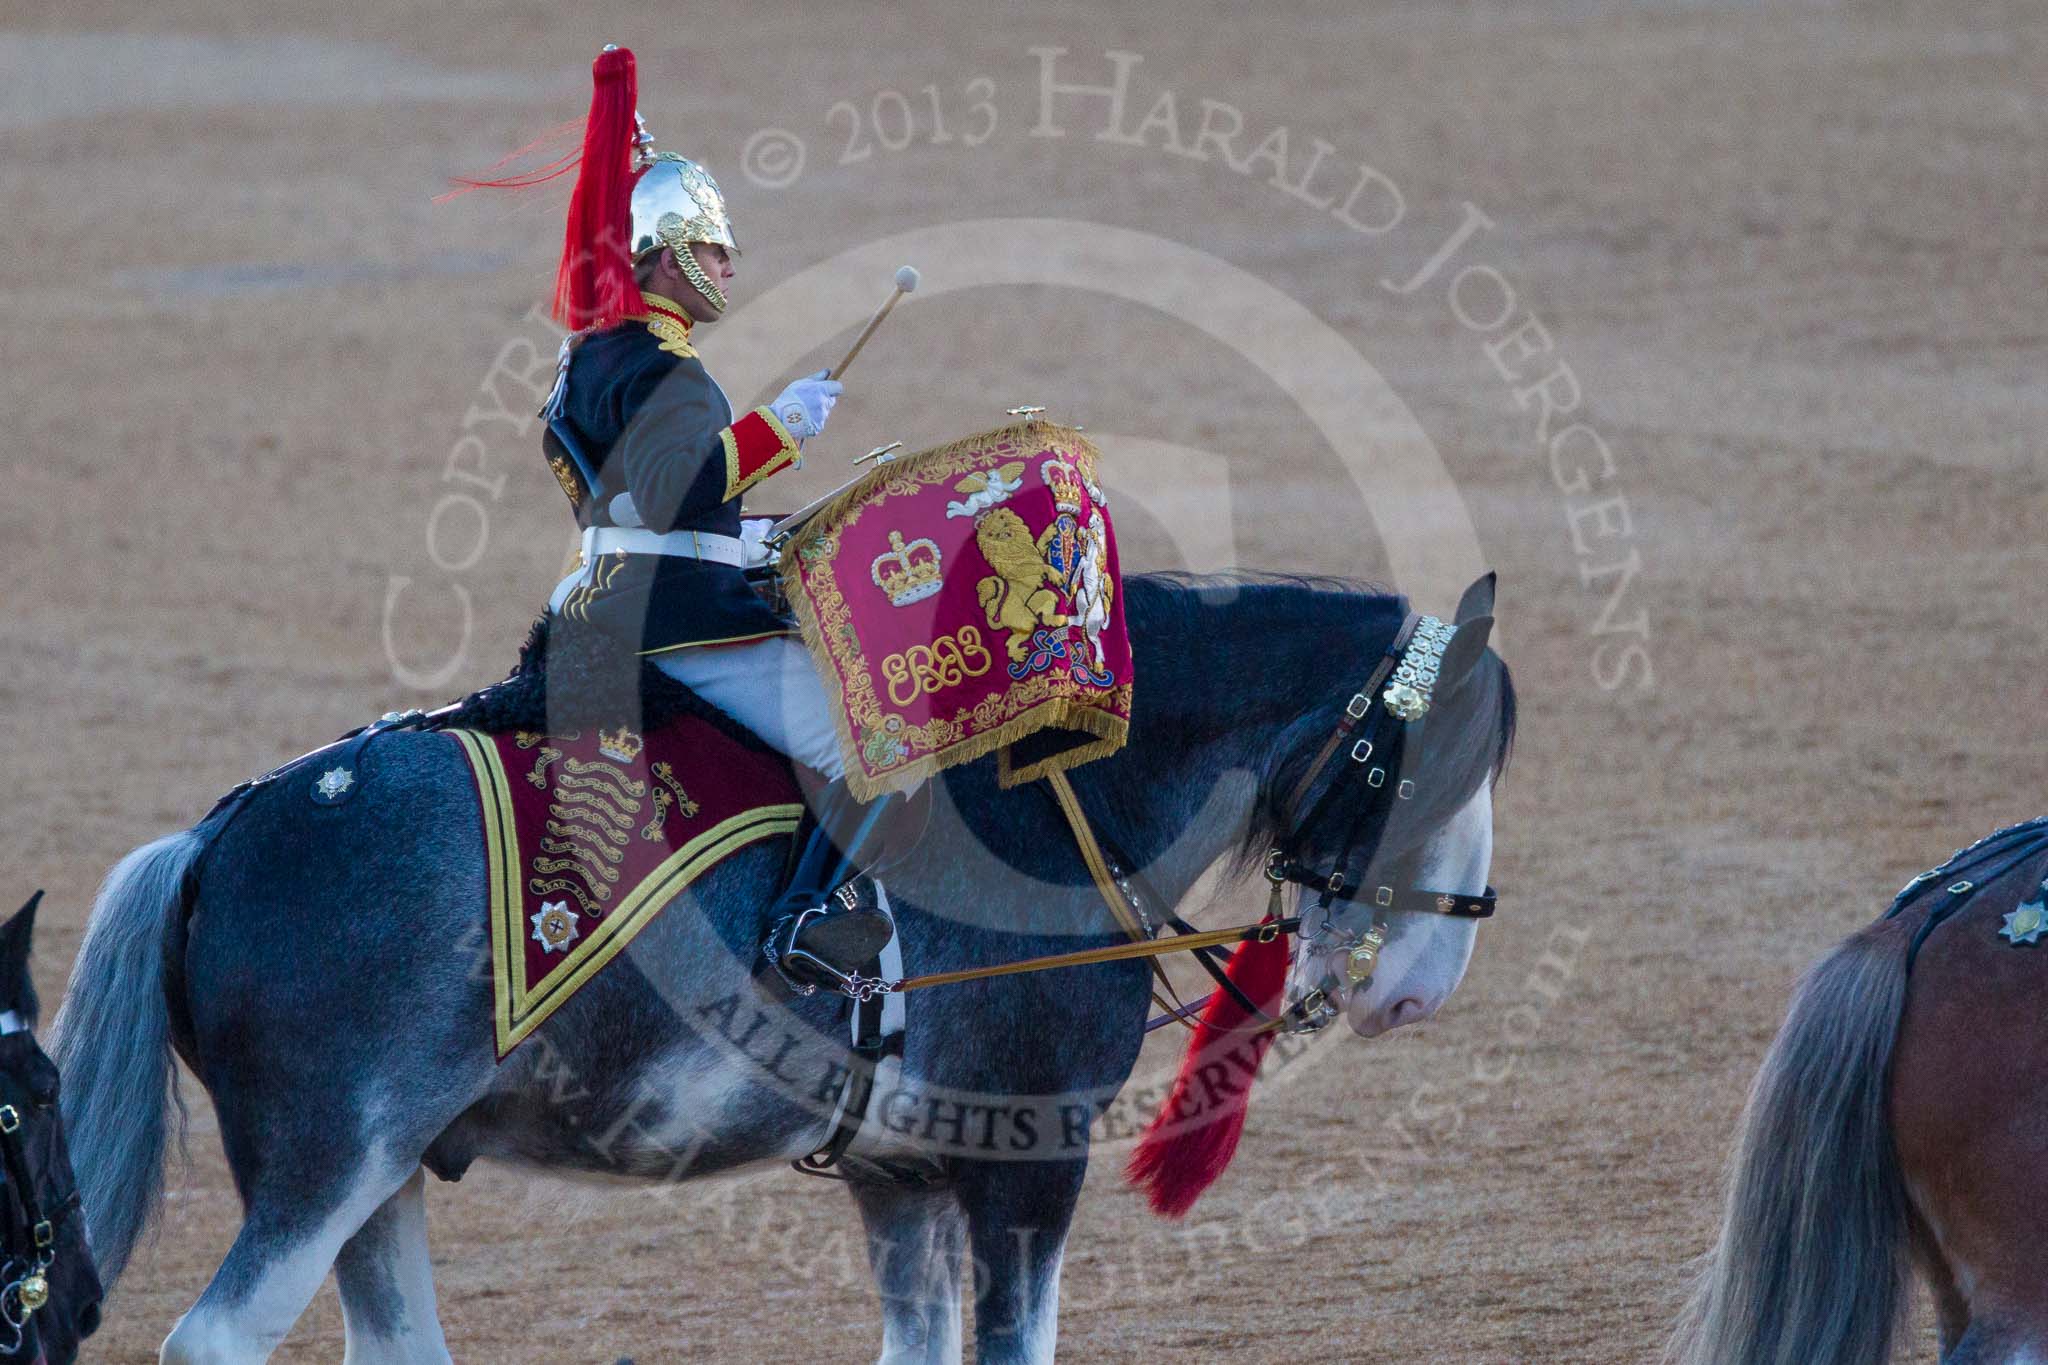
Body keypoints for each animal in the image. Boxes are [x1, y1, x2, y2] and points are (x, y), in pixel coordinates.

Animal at [51, 572, 1514, 1364]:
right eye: (1421, 762)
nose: (1422, 981)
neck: (1042, 805)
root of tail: (219, 833)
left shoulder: (901, 1173)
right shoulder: (1029, 1165)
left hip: (386, 1172)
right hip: (326, 1166)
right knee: (216, 1336)